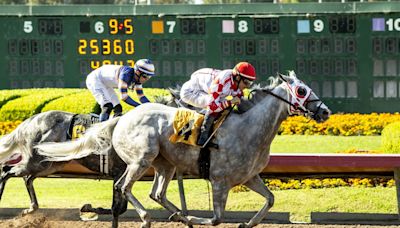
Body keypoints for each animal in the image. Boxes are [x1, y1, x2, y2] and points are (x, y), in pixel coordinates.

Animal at [36, 71, 332, 228]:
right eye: (302, 90)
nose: (325, 111)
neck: (249, 128)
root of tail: (122, 119)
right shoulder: (220, 180)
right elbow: (216, 219)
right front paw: (196, 217)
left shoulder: (249, 177)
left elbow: (270, 200)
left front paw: (245, 223)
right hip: (141, 160)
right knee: (123, 186)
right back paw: (150, 217)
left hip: (165, 164)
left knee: (156, 193)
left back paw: (179, 214)